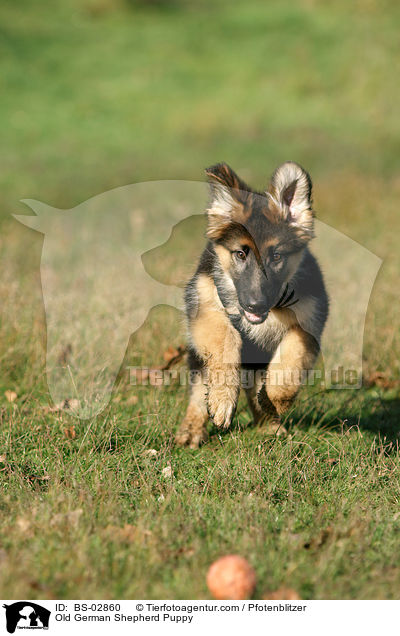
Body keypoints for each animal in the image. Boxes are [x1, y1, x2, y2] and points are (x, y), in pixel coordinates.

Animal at [177, 161, 330, 450]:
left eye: (277, 256)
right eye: (240, 254)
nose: (255, 304)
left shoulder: (309, 323)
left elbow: (290, 359)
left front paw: (274, 400)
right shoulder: (205, 307)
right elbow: (226, 339)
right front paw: (223, 400)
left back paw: (269, 424)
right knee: (199, 389)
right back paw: (192, 430)